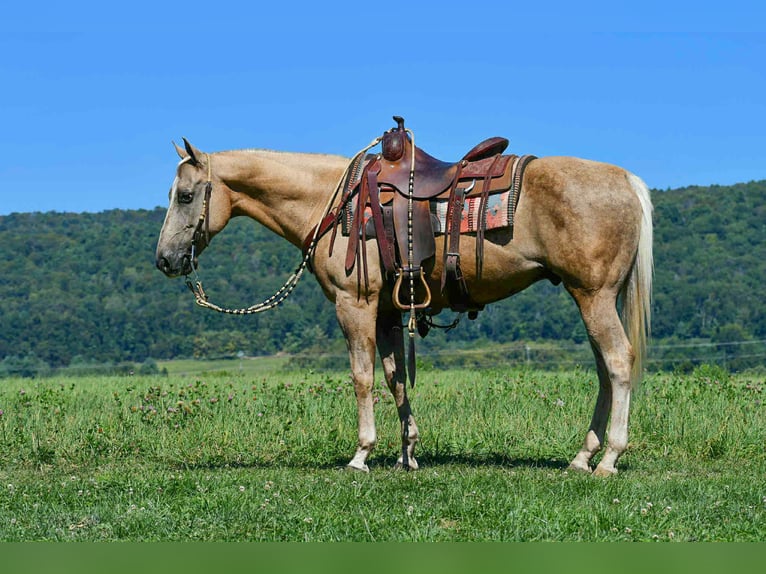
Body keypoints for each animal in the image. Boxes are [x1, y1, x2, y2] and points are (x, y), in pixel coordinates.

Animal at [155, 132, 653, 476]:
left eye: (186, 196)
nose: (165, 260)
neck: (332, 202)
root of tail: (627, 181)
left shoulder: (354, 304)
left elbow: (362, 378)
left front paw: (361, 454)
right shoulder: (388, 311)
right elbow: (396, 379)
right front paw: (407, 453)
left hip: (594, 297)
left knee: (618, 363)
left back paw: (609, 458)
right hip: (590, 297)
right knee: (604, 371)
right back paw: (582, 456)